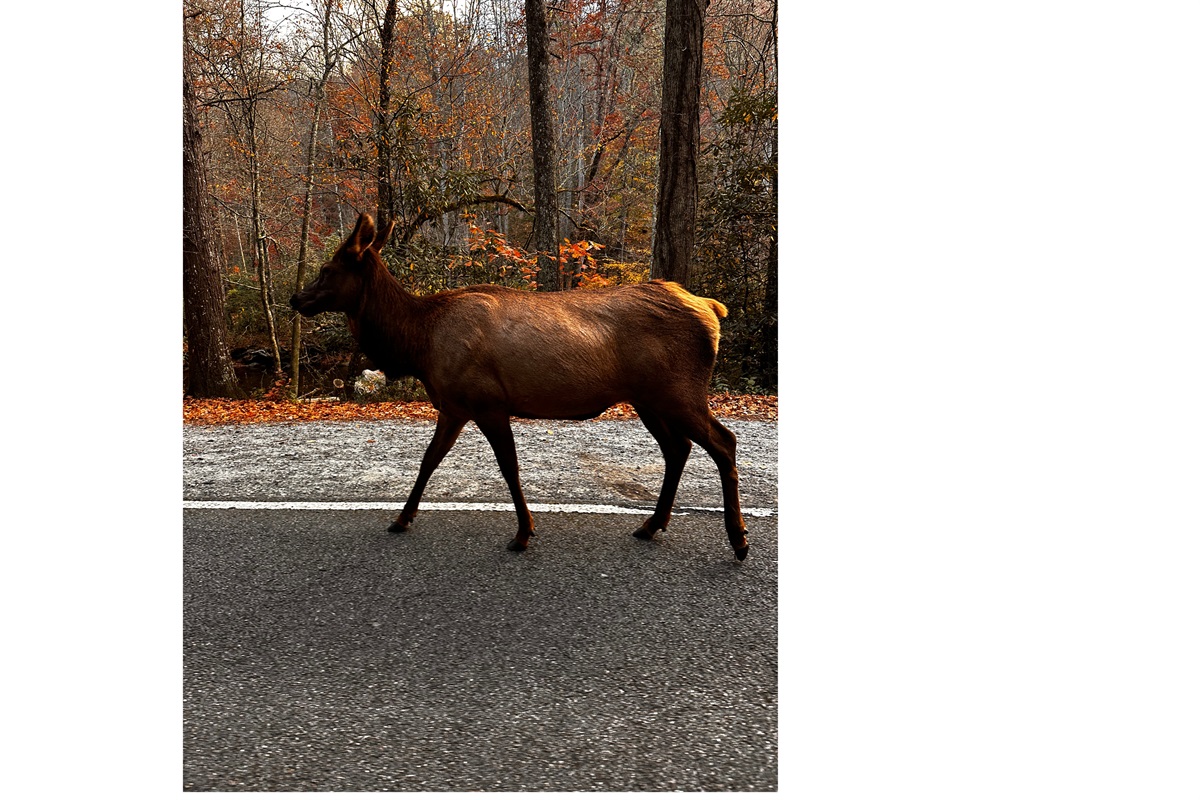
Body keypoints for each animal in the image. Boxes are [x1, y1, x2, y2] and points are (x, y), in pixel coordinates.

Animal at [290, 213, 749, 560]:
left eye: (327, 270)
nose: (296, 299)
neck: (418, 344)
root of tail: (712, 309)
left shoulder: (487, 402)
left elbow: (508, 467)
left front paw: (523, 533)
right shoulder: (454, 407)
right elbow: (428, 461)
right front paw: (402, 518)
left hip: (678, 391)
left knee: (723, 441)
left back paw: (738, 539)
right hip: (648, 398)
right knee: (679, 448)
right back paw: (651, 525)